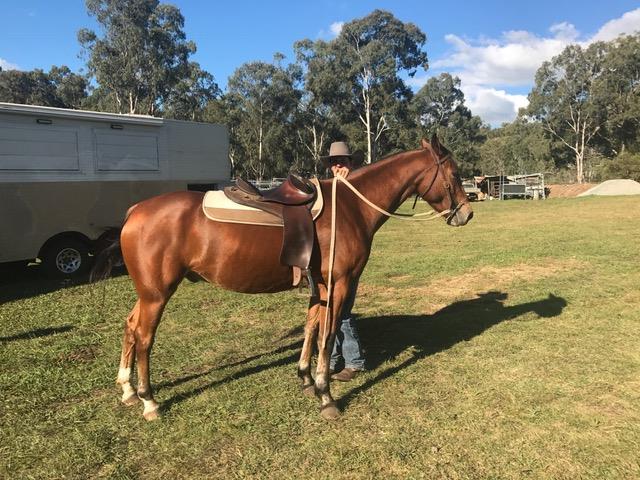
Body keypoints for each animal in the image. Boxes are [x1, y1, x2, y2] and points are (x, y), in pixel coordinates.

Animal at [92, 135, 473, 421]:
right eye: (455, 174)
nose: (467, 214)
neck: (349, 208)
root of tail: (135, 212)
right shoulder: (339, 284)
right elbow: (328, 334)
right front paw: (325, 396)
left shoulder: (320, 287)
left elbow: (311, 328)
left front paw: (305, 378)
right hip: (157, 294)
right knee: (144, 337)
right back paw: (148, 400)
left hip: (147, 292)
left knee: (130, 326)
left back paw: (127, 389)